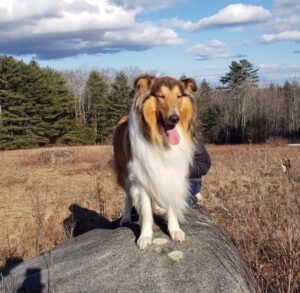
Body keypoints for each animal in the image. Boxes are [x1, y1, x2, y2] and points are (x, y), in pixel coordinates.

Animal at [113, 75, 196, 249]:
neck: (159, 140)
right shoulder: (141, 178)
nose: (175, 118)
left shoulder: (171, 173)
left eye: (179, 96)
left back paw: (158, 208)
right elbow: (145, 211)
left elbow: (170, 204)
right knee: (128, 196)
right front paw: (145, 236)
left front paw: (175, 230)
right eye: (161, 96)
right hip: (125, 174)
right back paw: (126, 217)